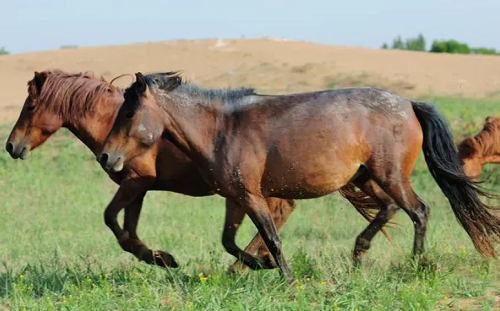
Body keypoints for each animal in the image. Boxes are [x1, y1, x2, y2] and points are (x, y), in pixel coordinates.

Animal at [3, 70, 378, 272]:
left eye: (31, 105)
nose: (11, 146)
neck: (113, 122)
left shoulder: (136, 182)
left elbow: (112, 220)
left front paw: (161, 258)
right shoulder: (139, 187)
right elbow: (127, 229)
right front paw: (158, 257)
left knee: (277, 215)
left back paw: (248, 266)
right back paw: (248, 265)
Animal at [98, 72, 500, 282]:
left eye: (129, 111)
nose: (106, 156)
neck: (222, 129)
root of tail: (408, 105)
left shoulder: (253, 196)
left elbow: (271, 238)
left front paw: (286, 278)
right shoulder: (235, 197)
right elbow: (229, 241)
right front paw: (258, 265)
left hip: (391, 175)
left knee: (419, 211)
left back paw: (416, 265)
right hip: (367, 177)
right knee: (389, 209)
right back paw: (359, 254)